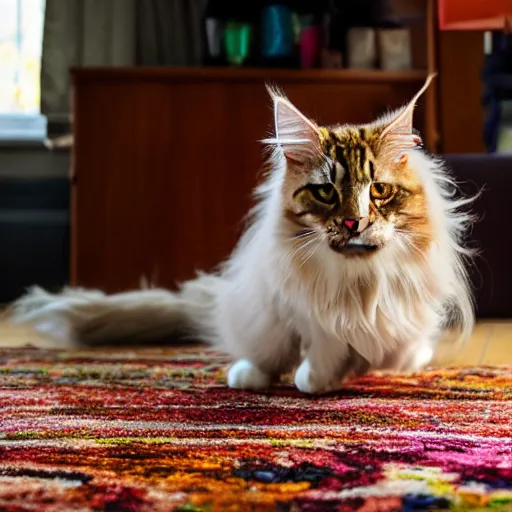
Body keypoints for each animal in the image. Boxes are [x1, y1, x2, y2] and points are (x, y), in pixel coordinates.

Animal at [6, 76, 474, 394]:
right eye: (326, 192)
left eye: (378, 191)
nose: (352, 222)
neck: (358, 282)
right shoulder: (302, 309)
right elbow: (319, 349)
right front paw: (319, 376)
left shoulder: (401, 320)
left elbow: (389, 351)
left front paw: (355, 367)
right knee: (261, 356)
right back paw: (247, 376)